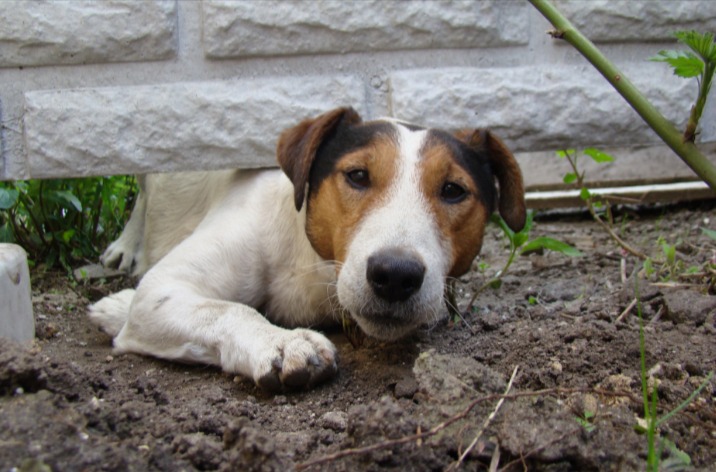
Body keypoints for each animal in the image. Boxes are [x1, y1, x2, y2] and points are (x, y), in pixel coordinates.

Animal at [91, 107, 524, 390]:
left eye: (453, 190)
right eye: (357, 175)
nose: (395, 275)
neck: (313, 266)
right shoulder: (162, 290)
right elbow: (227, 308)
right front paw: (280, 341)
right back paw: (125, 249)